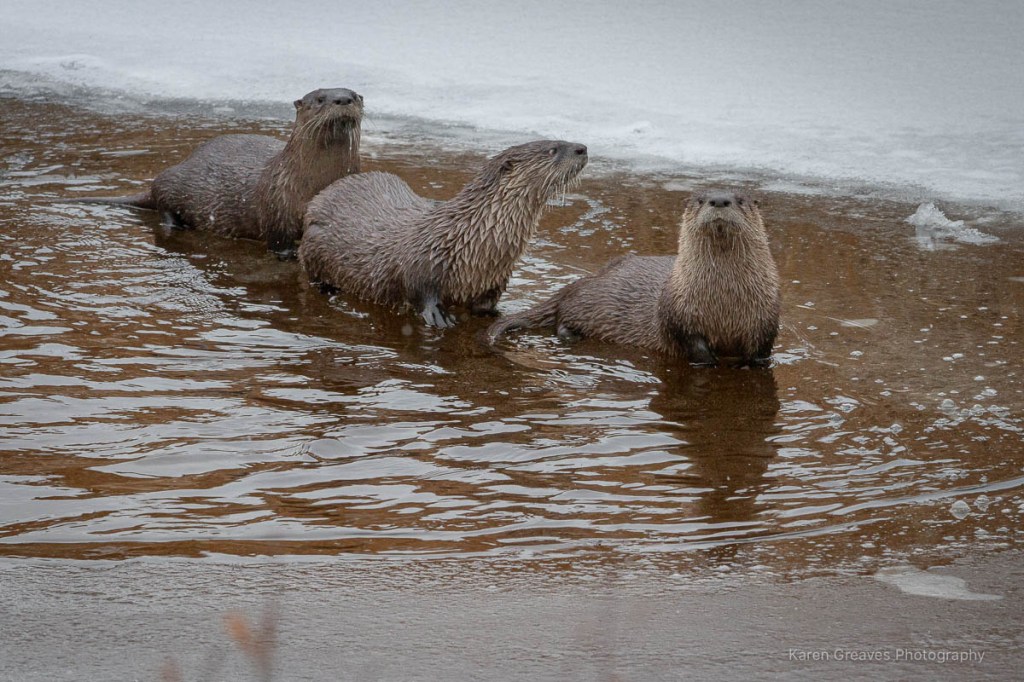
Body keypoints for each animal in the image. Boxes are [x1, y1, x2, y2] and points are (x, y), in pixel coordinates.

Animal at [76, 87, 363, 254]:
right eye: (320, 99)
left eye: (355, 94)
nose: (343, 99)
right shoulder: (277, 206)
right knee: (162, 195)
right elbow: (278, 242)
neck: (310, 181)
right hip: (173, 183)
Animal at [299, 140, 588, 327]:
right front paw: (438, 316)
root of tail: (317, 200)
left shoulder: (494, 281)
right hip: (313, 244)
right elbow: (420, 290)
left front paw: (496, 316)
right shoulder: (421, 264)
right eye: (552, 149)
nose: (582, 148)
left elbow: (487, 305)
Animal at [487, 191, 780, 367]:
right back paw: (570, 334)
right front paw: (710, 360)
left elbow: (760, 351)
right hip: (587, 301)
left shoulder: (766, 318)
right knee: (562, 316)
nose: (719, 200)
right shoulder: (678, 315)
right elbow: (692, 343)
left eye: (740, 200)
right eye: (701, 200)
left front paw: (750, 364)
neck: (724, 305)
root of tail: (589, 278)